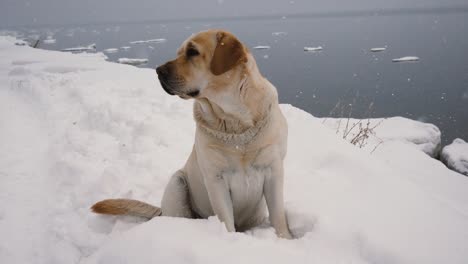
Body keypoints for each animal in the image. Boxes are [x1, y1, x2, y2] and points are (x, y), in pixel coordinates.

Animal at [92, 29, 292, 239]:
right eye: (179, 53)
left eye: (192, 52)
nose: (158, 70)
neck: (235, 122)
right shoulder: (215, 178)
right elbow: (226, 220)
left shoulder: (274, 171)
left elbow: (278, 217)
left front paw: (284, 239)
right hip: (177, 183)